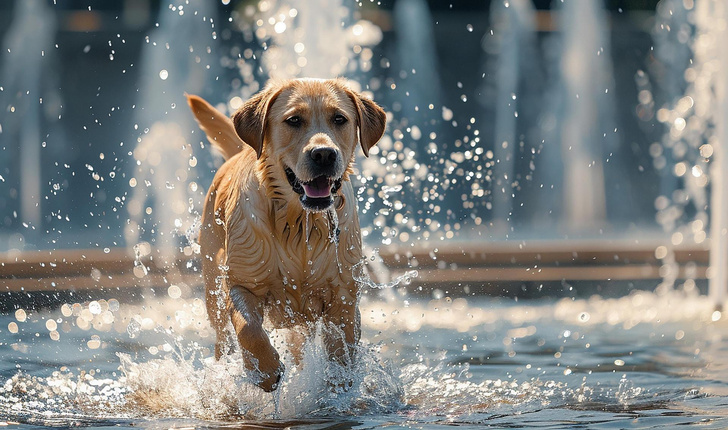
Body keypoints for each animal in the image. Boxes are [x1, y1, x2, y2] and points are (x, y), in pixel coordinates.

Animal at [186, 79, 386, 392]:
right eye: (294, 120)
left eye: (339, 119)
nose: (324, 154)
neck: (300, 224)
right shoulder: (242, 283)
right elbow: (249, 329)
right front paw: (265, 371)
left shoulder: (344, 298)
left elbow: (342, 351)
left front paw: (338, 388)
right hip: (212, 291)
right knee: (223, 339)